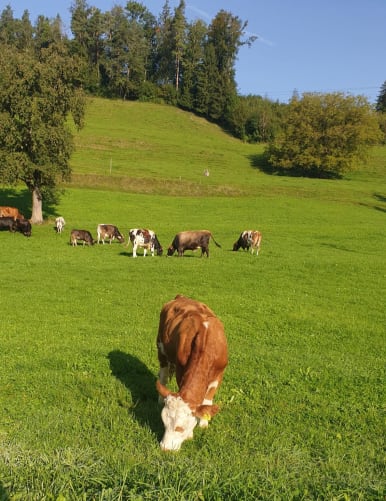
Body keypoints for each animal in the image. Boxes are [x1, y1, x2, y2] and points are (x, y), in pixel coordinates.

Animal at [156, 294, 228, 452]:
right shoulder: (181, 370)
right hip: (161, 349)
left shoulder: (219, 374)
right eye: (163, 422)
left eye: (180, 428)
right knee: (163, 376)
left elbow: (207, 399)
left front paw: (203, 423)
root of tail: (181, 297)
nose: (165, 448)